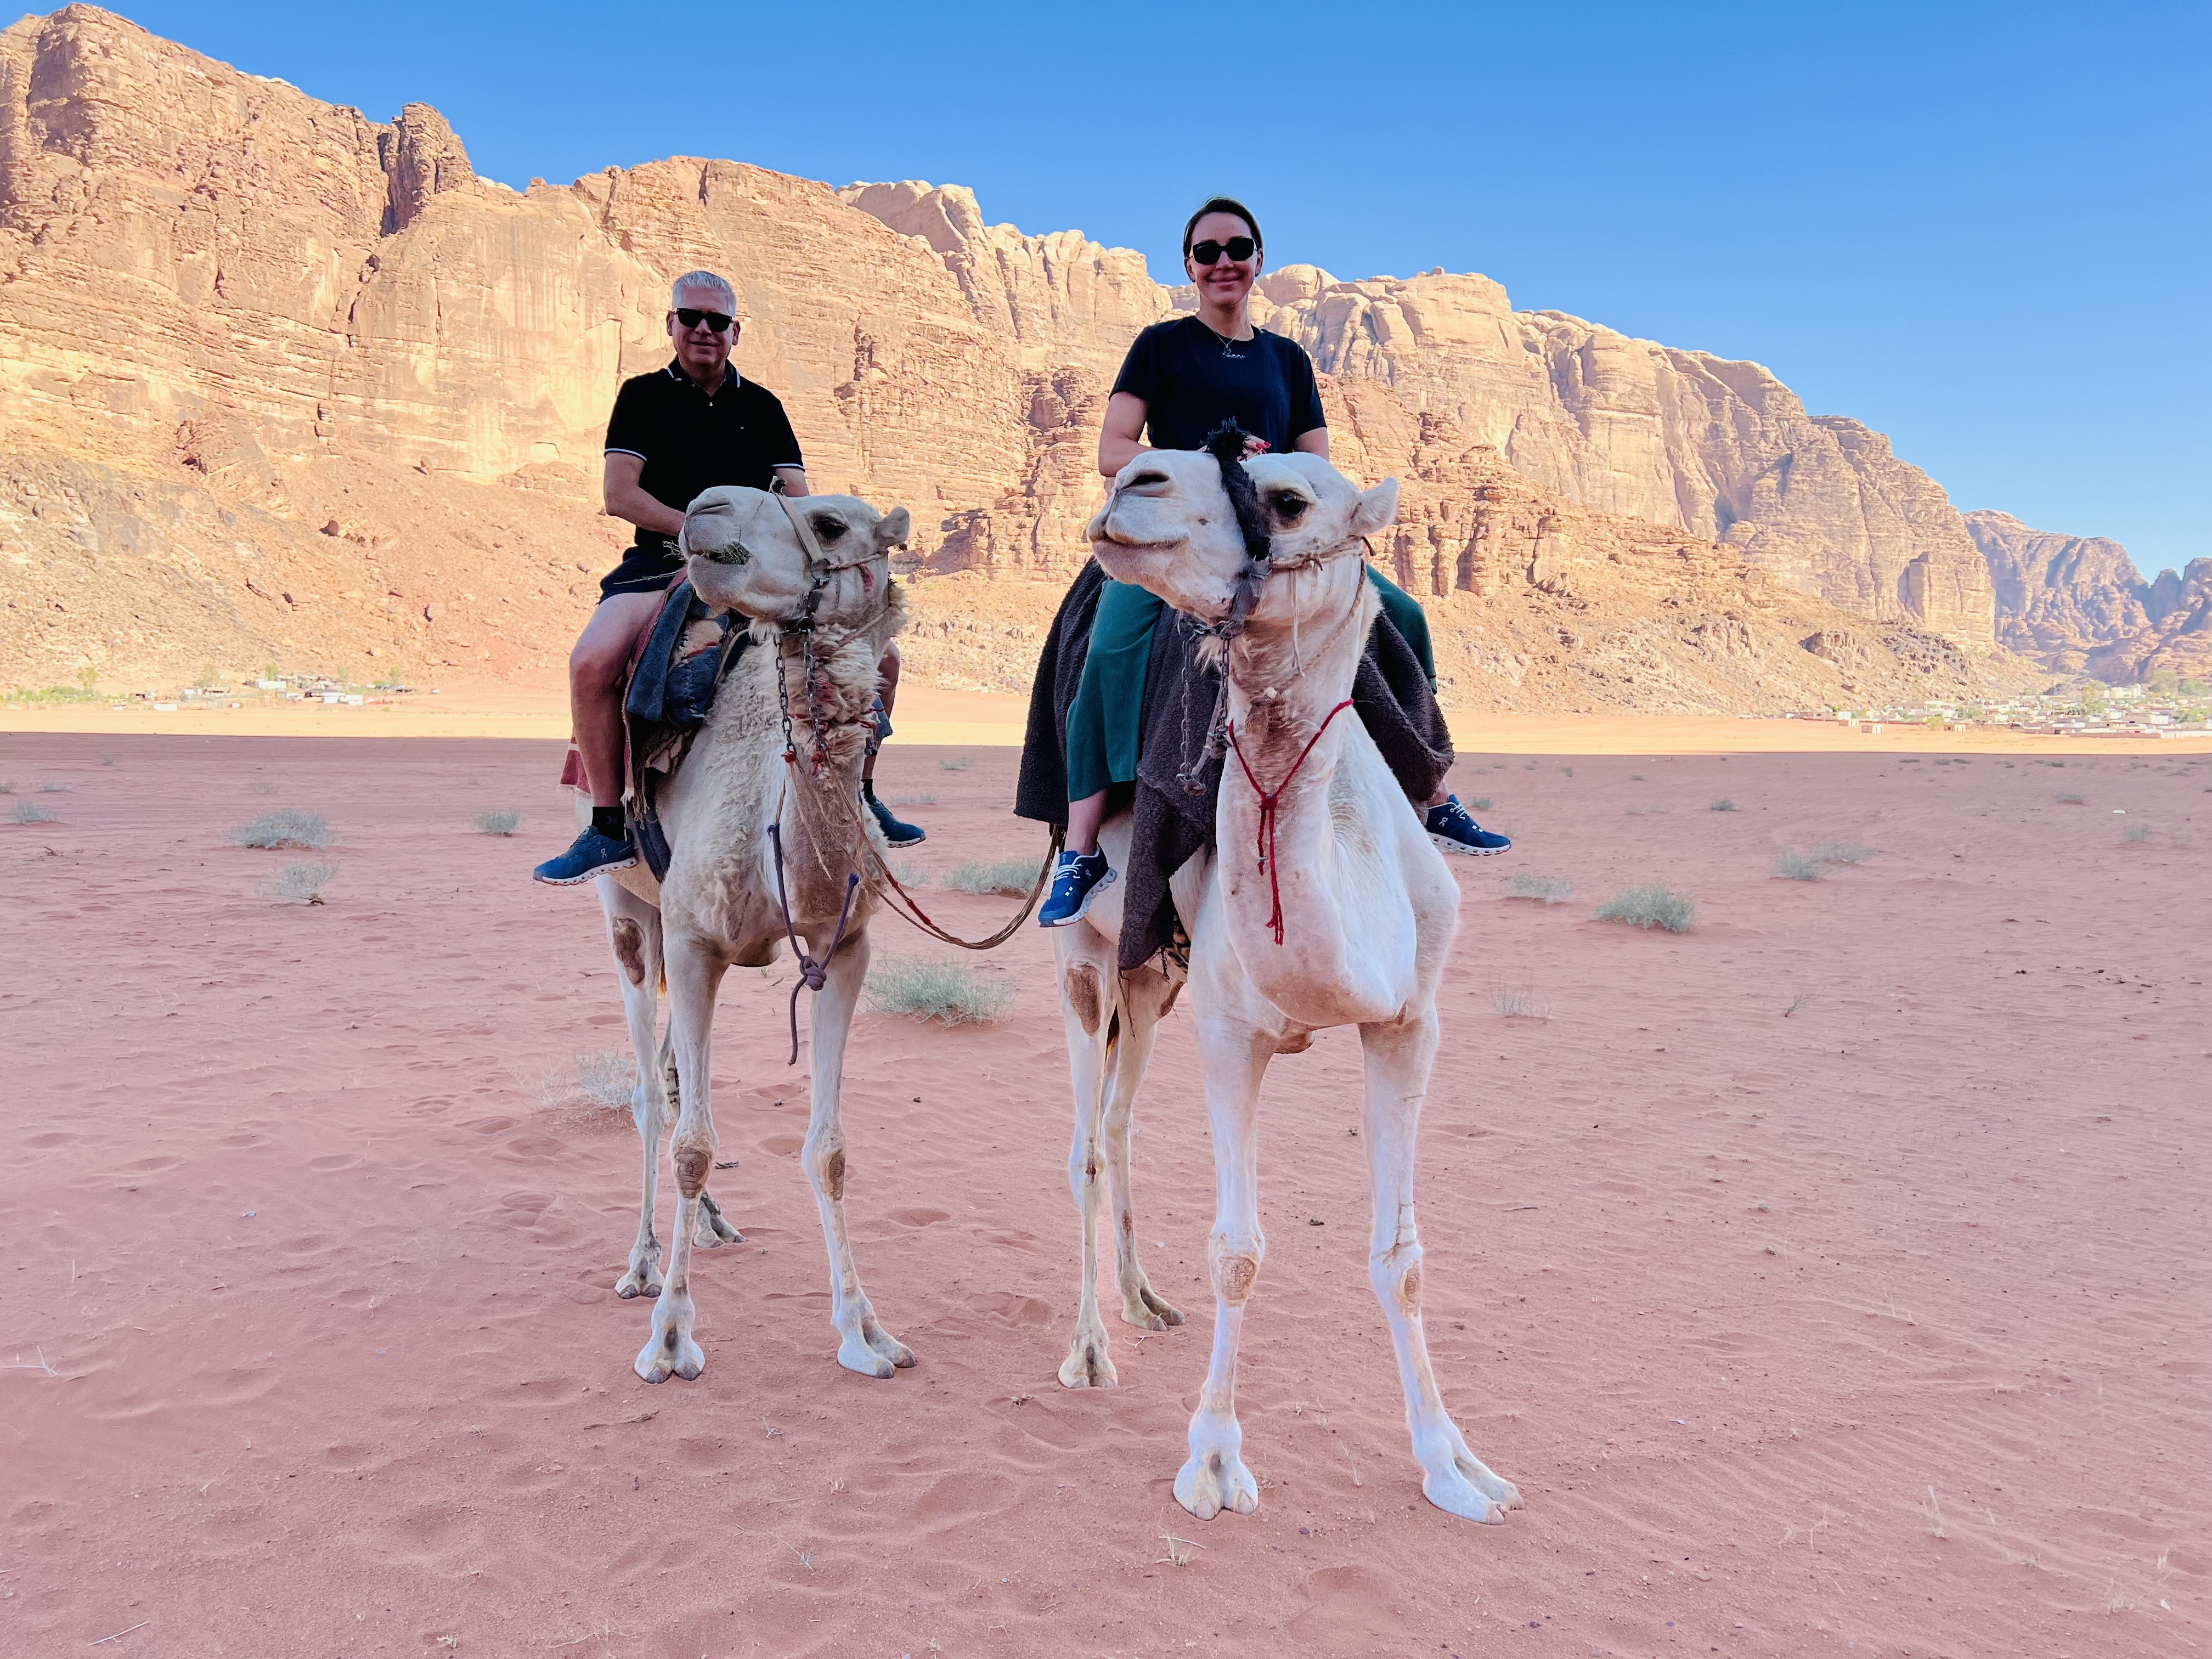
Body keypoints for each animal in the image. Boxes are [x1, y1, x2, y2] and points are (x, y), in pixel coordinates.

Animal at [588, 484, 916, 1389]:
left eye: (833, 523)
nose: (704, 508)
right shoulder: (695, 941)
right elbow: (691, 1146)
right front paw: (669, 1339)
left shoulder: (845, 948)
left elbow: (829, 1151)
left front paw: (865, 1331)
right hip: (631, 917)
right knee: (648, 1094)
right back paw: (640, 1263)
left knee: (672, 1078)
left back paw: (708, 1226)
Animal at [1053, 449, 1522, 1531]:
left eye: (1290, 499)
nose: (1132, 481)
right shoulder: (1232, 1029)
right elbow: (1238, 1250)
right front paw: (1215, 1461)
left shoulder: (1410, 1022)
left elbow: (1403, 1257)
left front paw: (1455, 1465)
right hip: (1090, 958)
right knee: (1088, 1144)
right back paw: (1091, 1348)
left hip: (1154, 977)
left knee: (1121, 1121)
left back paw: (1144, 1300)